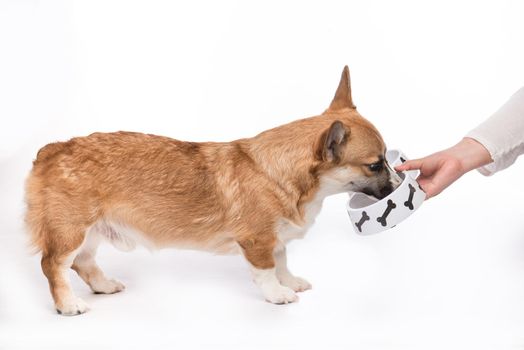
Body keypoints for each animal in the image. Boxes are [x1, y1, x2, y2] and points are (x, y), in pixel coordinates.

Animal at [24, 65, 400, 314]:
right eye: (374, 164)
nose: (400, 183)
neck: (283, 174)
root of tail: (52, 150)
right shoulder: (257, 240)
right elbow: (266, 271)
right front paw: (278, 294)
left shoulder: (275, 238)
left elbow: (282, 261)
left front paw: (290, 281)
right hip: (71, 231)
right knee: (53, 265)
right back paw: (69, 305)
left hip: (92, 232)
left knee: (83, 263)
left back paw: (103, 285)